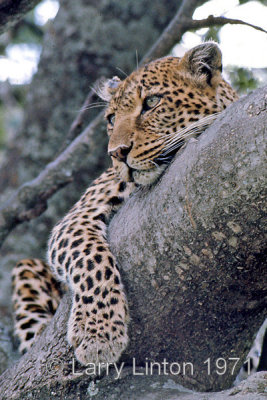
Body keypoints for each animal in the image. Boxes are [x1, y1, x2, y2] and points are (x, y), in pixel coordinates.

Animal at [11, 43, 240, 366]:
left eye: (152, 102)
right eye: (110, 119)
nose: (117, 153)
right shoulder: (76, 217)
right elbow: (90, 259)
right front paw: (98, 332)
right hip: (27, 269)